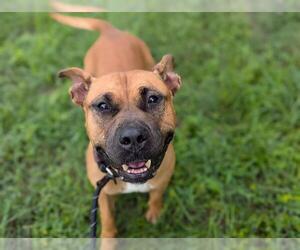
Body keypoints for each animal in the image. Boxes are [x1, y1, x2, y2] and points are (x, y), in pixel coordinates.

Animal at [51, 12, 182, 237]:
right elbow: (108, 219)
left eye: (153, 99)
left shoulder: (163, 180)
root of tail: (111, 31)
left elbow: (156, 196)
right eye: (102, 106)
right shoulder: (101, 194)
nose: (133, 137)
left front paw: (155, 213)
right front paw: (107, 239)